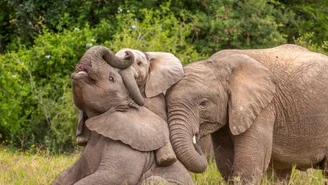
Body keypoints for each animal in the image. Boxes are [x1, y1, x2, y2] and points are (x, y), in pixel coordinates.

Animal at [52, 45, 193, 185]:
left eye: (111, 78)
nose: (127, 53)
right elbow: (65, 176)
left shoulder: (130, 146)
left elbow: (111, 176)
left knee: (153, 179)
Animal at [167, 44, 328, 184]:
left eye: (203, 103)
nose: (197, 143)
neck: (219, 64)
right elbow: (225, 164)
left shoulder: (263, 108)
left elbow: (249, 166)